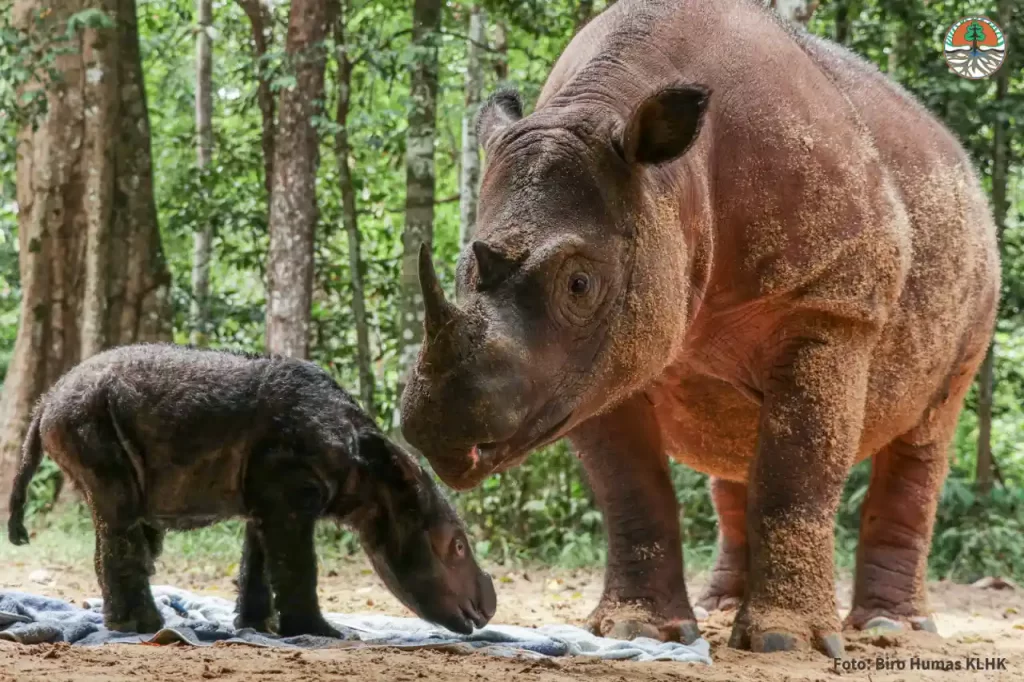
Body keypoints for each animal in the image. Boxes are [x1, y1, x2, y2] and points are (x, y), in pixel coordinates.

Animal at [8, 342, 495, 634]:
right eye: (456, 547)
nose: (489, 607)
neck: (374, 477)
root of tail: (45, 402)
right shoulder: (289, 489)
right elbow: (298, 565)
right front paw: (324, 633)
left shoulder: (271, 494)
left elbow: (260, 561)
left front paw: (260, 629)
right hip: (85, 417)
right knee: (120, 512)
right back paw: (146, 627)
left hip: (83, 416)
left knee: (119, 518)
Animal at [399, 0, 999, 655]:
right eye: (461, 270)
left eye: (579, 285)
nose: (434, 426)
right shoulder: (599, 365)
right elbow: (630, 488)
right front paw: (640, 628)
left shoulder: (831, 305)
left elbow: (798, 474)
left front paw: (785, 643)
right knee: (736, 447)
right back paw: (724, 606)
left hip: (976, 271)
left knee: (926, 434)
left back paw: (893, 629)